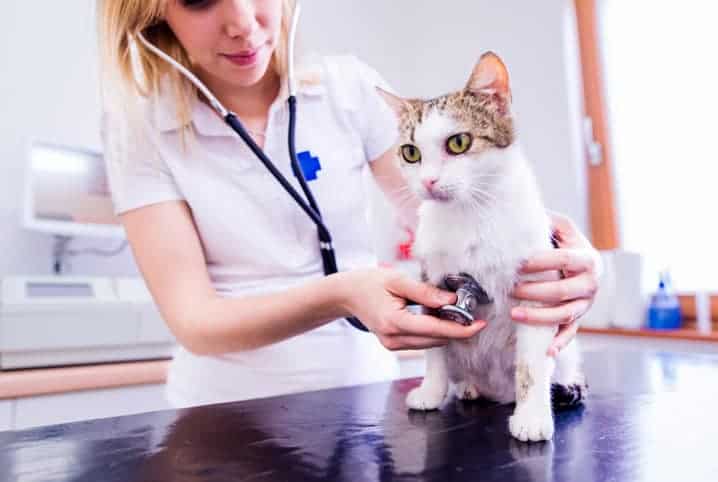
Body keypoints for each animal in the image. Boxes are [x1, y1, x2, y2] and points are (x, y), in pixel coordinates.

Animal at [380, 51, 588, 440]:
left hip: (566, 350)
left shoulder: (538, 290)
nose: (428, 181)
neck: (469, 212)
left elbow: (532, 363)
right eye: (411, 152)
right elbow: (434, 346)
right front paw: (431, 390)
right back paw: (468, 387)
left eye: (458, 143)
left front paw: (532, 417)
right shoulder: (433, 278)